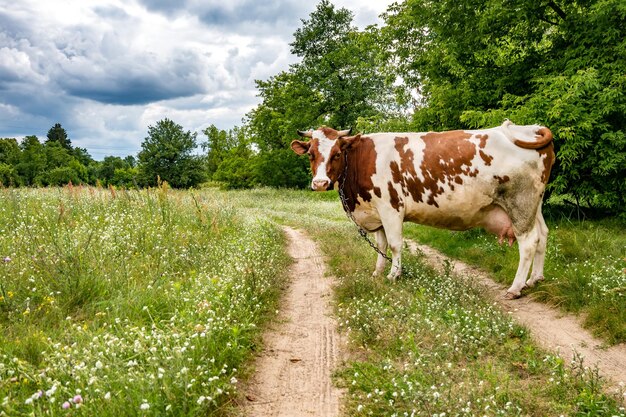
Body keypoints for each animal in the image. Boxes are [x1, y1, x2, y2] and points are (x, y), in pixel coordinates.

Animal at [290, 118, 552, 298]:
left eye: (336, 154)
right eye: (311, 154)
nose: (320, 183)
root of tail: (530, 128)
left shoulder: (390, 207)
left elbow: (394, 244)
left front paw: (394, 274)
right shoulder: (376, 212)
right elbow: (381, 246)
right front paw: (377, 273)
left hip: (520, 203)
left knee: (528, 243)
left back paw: (515, 288)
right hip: (534, 205)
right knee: (542, 235)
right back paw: (534, 280)